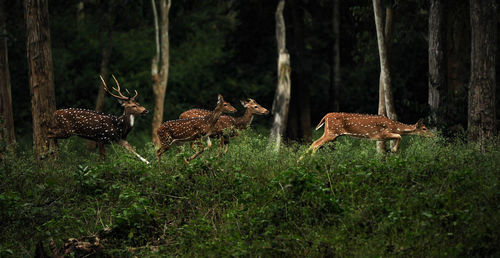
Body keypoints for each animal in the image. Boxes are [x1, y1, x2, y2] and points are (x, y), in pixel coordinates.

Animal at [300, 112, 434, 156]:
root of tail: (326, 116)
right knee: (316, 144)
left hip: (330, 133)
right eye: (424, 128)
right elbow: (399, 136)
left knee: (314, 143)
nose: (433, 136)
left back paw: (300, 161)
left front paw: (393, 150)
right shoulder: (381, 134)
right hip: (332, 133)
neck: (395, 126)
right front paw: (395, 150)